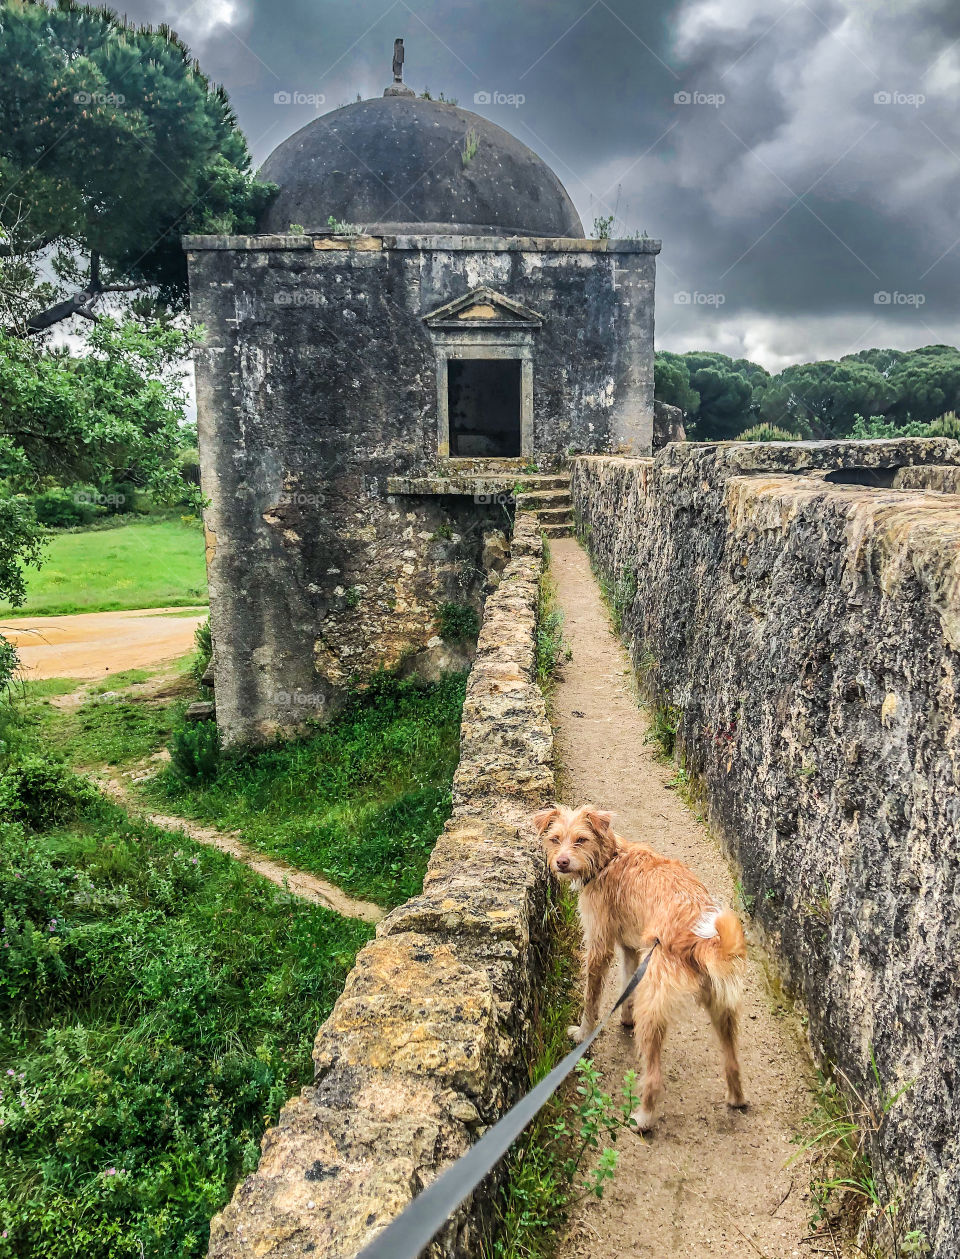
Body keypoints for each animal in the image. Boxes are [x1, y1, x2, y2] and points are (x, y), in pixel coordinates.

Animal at [533, 805, 749, 1133]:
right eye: (555, 838)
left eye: (581, 839)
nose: (562, 862)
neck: (608, 859)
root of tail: (700, 941)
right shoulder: (631, 949)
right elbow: (625, 986)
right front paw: (625, 1017)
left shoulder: (600, 945)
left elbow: (591, 998)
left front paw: (583, 1033)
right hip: (723, 1007)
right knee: (733, 1061)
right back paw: (735, 1098)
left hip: (654, 1005)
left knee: (654, 1075)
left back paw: (643, 1118)